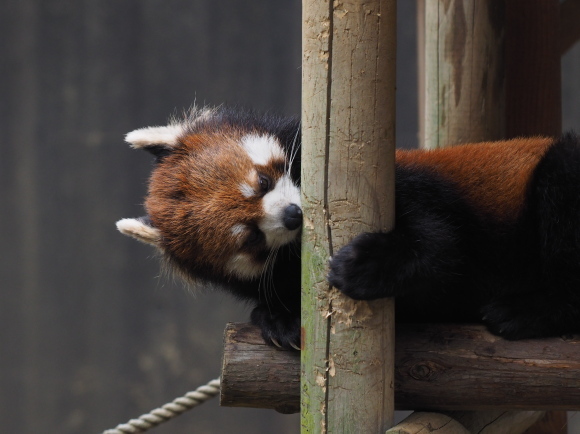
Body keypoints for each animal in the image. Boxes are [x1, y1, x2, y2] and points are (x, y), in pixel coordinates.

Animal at [116, 107, 580, 350]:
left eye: (263, 181)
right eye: (251, 237)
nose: (292, 216)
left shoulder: (406, 182)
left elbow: (443, 245)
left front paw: (365, 267)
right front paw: (280, 317)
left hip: (559, 175)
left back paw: (525, 311)